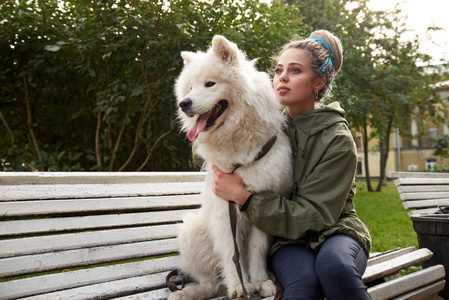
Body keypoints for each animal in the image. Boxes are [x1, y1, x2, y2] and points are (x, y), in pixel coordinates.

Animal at [170, 35, 292, 300]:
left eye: (209, 84)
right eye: (190, 88)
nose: (184, 103)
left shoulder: (259, 205)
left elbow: (256, 252)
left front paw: (260, 282)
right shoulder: (224, 212)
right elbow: (230, 254)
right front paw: (239, 286)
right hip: (192, 231)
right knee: (211, 281)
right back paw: (190, 292)